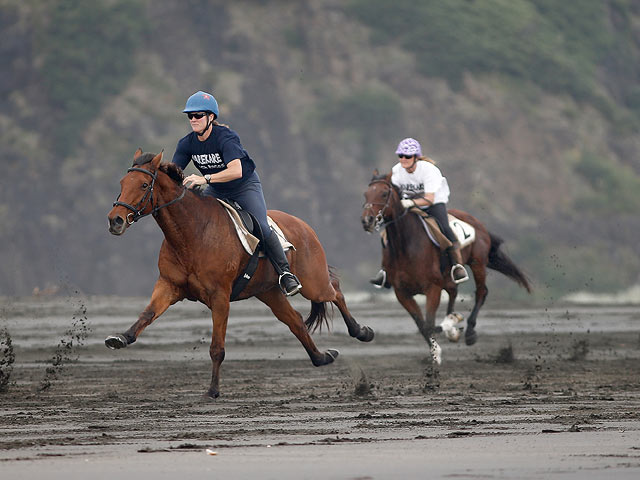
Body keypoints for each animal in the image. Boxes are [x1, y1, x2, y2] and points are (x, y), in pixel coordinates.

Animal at [107, 150, 372, 398]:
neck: (192, 233)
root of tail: (304, 225)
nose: (115, 220)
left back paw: (361, 332)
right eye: (121, 183)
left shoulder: (219, 297)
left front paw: (213, 390)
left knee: (335, 291)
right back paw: (322, 357)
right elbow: (146, 315)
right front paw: (120, 338)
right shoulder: (168, 286)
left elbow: (217, 348)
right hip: (269, 291)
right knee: (296, 321)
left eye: (143, 185)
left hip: (312, 283)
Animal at [360, 172, 528, 360]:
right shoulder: (402, 293)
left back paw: (469, 332)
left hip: (477, 263)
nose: (367, 220)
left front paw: (447, 335)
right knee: (454, 291)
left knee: (481, 292)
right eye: (366, 194)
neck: (406, 245)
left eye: (383, 194)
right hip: (449, 275)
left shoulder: (432, 288)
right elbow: (422, 325)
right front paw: (436, 350)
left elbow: (430, 324)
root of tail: (477, 222)